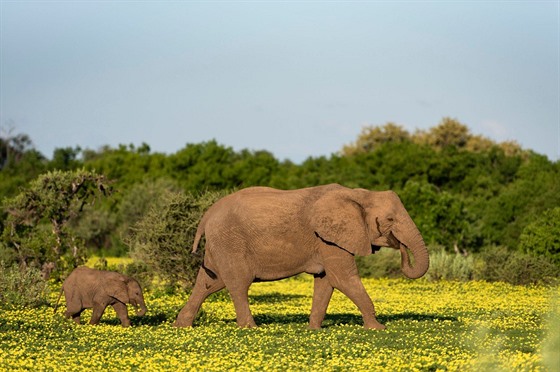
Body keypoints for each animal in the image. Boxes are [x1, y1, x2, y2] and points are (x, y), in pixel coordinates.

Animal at [175, 185, 428, 330]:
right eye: (390, 220)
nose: (398, 244)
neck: (360, 194)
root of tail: (207, 214)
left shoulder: (328, 240)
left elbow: (326, 281)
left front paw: (314, 330)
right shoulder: (328, 238)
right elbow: (343, 278)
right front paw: (378, 328)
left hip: (220, 244)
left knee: (209, 282)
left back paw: (182, 326)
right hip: (230, 241)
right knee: (238, 283)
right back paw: (250, 328)